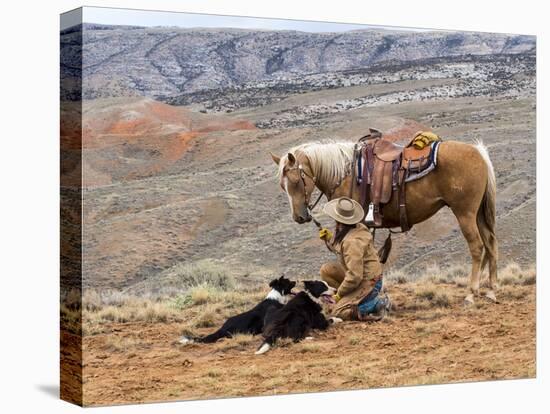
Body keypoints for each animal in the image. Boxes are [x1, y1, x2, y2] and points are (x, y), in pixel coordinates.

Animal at [272, 139, 500, 304]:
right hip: (478, 213)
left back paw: (472, 292)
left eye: (295, 181)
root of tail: (479, 152)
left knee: (477, 246)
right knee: (490, 243)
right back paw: (492, 289)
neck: (345, 174)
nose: (299, 217)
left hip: (465, 213)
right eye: (282, 186)